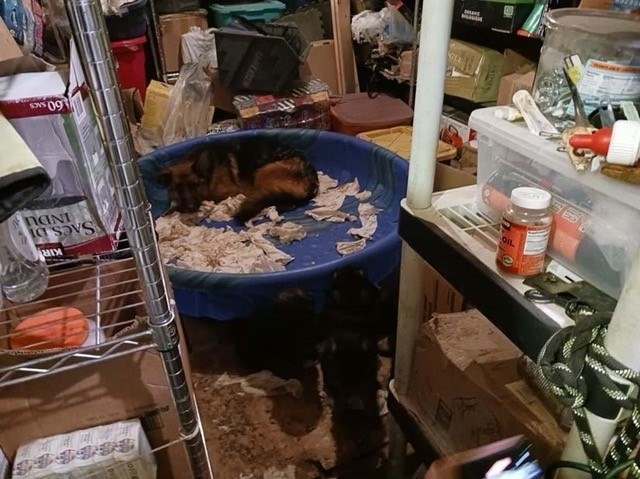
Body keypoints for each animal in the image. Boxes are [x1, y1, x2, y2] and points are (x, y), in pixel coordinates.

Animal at [160, 137, 320, 223]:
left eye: (194, 185)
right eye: (178, 188)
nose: (191, 208)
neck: (210, 171)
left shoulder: (225, 192)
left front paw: (174, 209)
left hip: (262, 172)